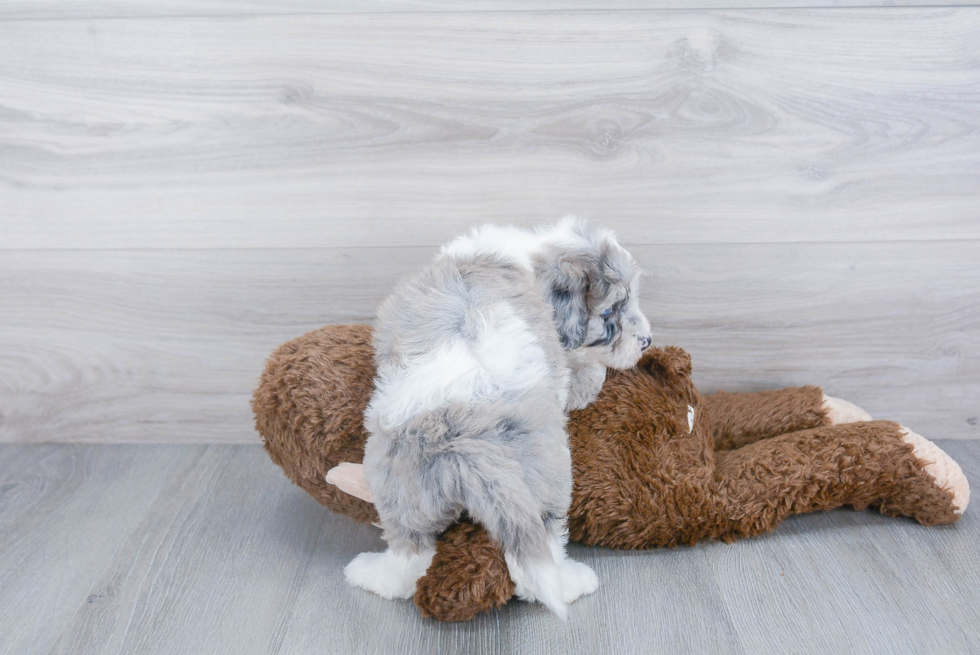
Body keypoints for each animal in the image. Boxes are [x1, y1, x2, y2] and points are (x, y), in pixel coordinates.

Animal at [344, 218, 652, 616]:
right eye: (610, 312)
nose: (646, 341)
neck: (528, 256)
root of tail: (464, 441)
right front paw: (593, 376)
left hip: (401, 489)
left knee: (408, 558)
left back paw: (368, 574)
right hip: (545, 485)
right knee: (537, 558)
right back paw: (572, 583)